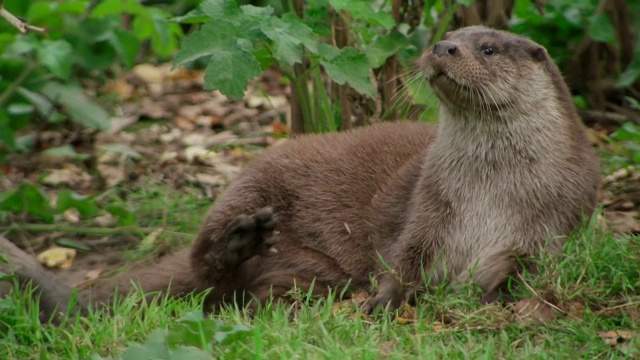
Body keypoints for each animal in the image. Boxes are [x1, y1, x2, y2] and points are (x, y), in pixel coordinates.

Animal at [89, 26, 600, 312]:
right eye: (453, 34)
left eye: (489, 48)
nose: (443, 47)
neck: (491, 189)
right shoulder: (427, 203)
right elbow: (402, 259)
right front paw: (383, 302)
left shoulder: (554, 219)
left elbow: (522, 268)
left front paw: (496, 299)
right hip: (253, 180)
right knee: (204, 263)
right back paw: (242, 239)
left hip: (314, 271)